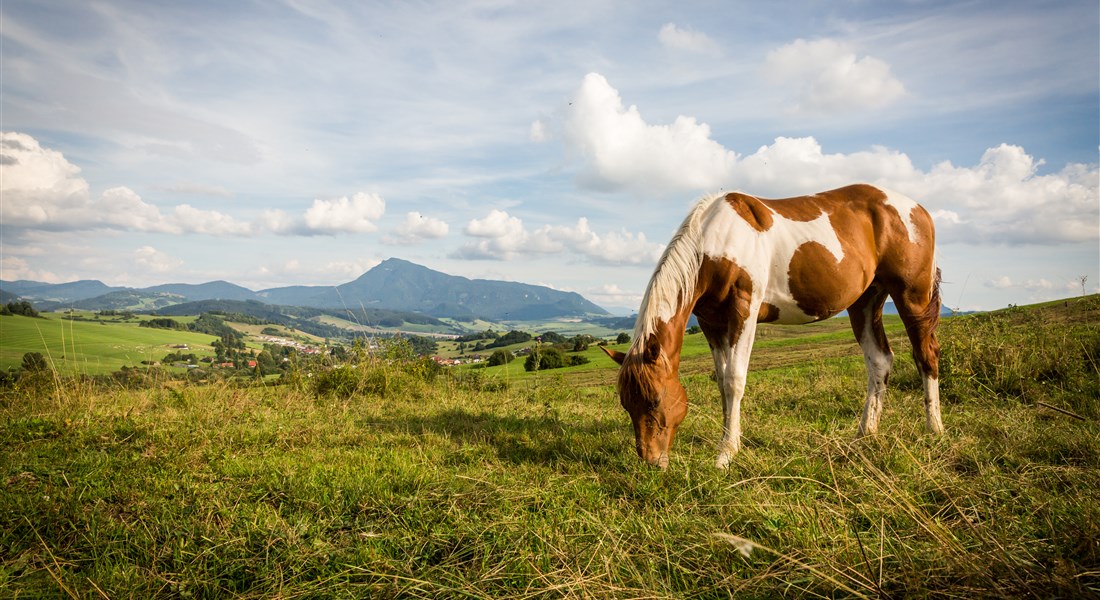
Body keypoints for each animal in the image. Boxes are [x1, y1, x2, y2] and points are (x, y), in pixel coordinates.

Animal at [602, 182, 946, 466]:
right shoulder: (711, 322)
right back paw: (864, 435)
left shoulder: (744, 310)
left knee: (926, 355)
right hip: (865, 302)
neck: (715, 242)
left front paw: (726, 454)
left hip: (912, 295)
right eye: (626, 404)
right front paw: (729, 441)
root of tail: (918, 209)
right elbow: (721, 381)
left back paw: (934, 429)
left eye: (654, 400)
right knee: (879, 361)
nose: (651, 460)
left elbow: (734, 379)